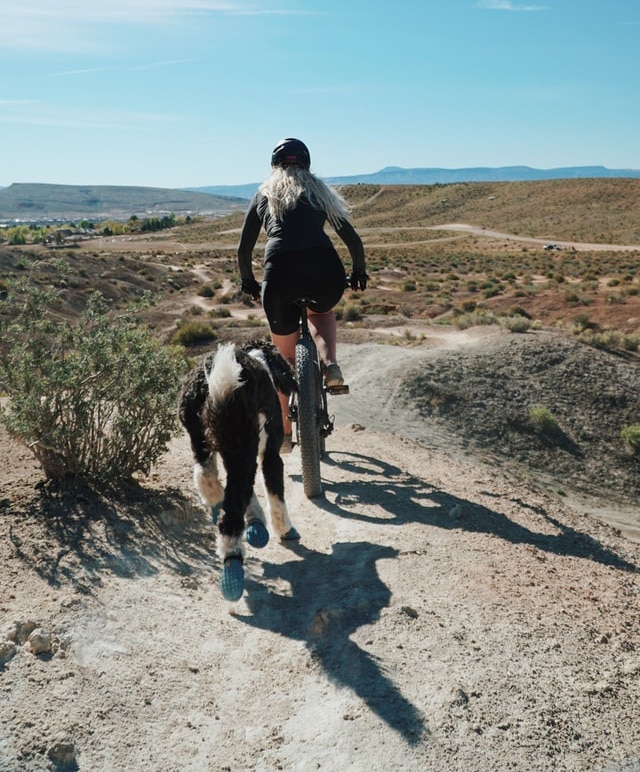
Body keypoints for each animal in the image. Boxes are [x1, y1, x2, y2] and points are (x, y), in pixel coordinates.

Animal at [179, 340, 298, 600]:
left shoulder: (233, 453)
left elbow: (250, 492)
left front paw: (256, 524)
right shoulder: (269, 455)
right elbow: (275, 495)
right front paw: (285, 529)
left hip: (202, 440)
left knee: (205, 477)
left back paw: (216, 503)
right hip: (241, 444)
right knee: (232, 510)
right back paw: (231, 565)